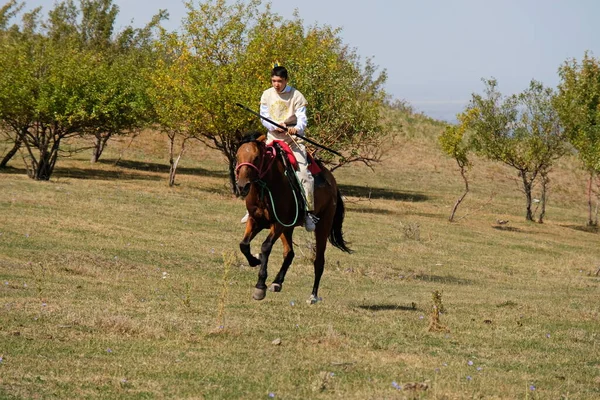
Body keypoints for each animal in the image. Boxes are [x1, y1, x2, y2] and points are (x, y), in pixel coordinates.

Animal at [234, 132, 352, 304]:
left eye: (256, 158)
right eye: (237, 156)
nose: (242, 186)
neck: (267, 187)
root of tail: (333, 182)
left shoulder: (278, 223)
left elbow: (265, 247)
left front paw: (260, 286)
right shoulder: (255, 221)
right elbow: (243, 245)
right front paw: (255, 260)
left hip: (323, 225)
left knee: (319, 261)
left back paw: (313, 296)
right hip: (288, 228)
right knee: (289, 253)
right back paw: (277, 282)